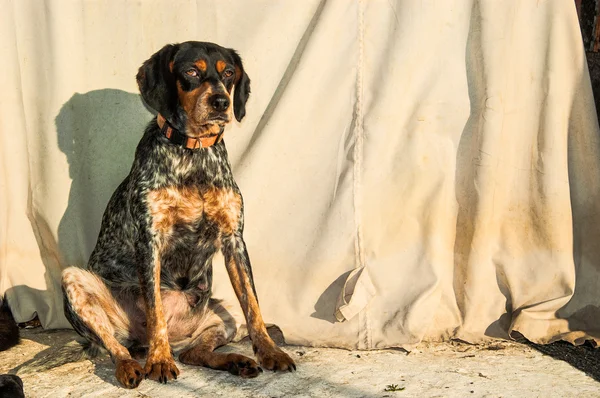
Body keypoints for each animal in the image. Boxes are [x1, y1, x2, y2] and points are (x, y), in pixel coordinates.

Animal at [61, 41, 296, 388]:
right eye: (191, 71)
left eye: (229, 72)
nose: (221, 102)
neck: (194, 152)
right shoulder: (150, 241)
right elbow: (156, 309)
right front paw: (159, 361)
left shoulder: (234, 241)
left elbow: (254, 308)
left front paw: (269, 351)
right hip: (74, 282)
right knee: (116, 345)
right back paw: (133, 364)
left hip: (221, 312)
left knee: (195, 352)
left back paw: (237, 361)